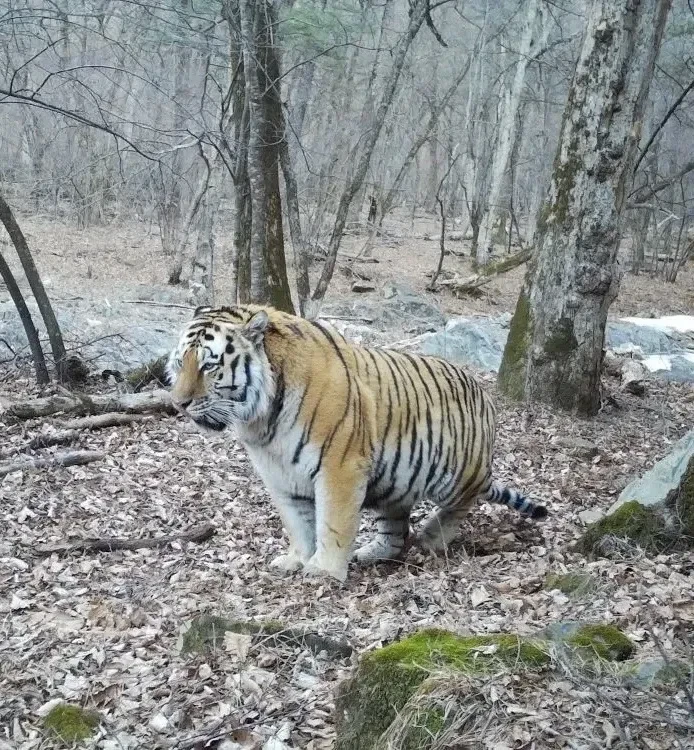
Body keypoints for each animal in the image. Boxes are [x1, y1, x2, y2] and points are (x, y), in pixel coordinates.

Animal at [167, 304, 547, 582]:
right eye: (180, 361)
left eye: (209, 366)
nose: (179, 403)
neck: (262, 420)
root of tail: (484, 395)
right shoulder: (279, 476)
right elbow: (297, 524)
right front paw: (296, 560)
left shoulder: (340, 466)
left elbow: (333, 522)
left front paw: (324, 570)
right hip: (395, 481)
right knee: (395, 531)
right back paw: (373, 552)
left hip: (454, 477)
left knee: (463, 503)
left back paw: (431, 537)